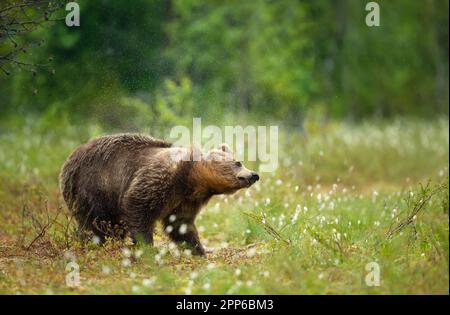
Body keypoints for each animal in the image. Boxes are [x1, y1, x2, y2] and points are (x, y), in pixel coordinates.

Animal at [59, 135, 260, 256]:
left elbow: (181, 225)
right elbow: (138, 207)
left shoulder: (185, 201)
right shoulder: (158, 180)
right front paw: (146, 245)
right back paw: (95, 243)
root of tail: (68, 161)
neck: (191, 180)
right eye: (238, 162)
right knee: (95, 222)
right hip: (93, 188)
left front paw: (198, 249)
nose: (253, 175)